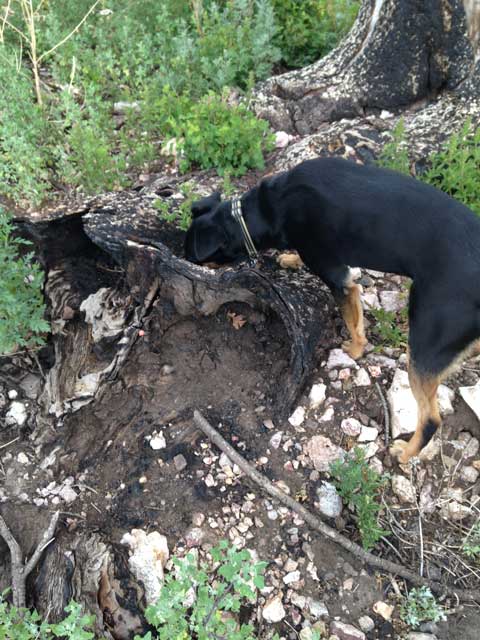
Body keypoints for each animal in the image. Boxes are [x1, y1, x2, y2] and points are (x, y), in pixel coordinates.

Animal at [185, 158, 480, 462]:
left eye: (192, 254)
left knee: (431, 417)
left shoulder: (340, 280)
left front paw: (355, 350)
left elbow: (353, 322)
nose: (183, 261)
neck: (269, 209)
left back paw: (405, 453)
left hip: (425, 342)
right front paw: (291, 258)